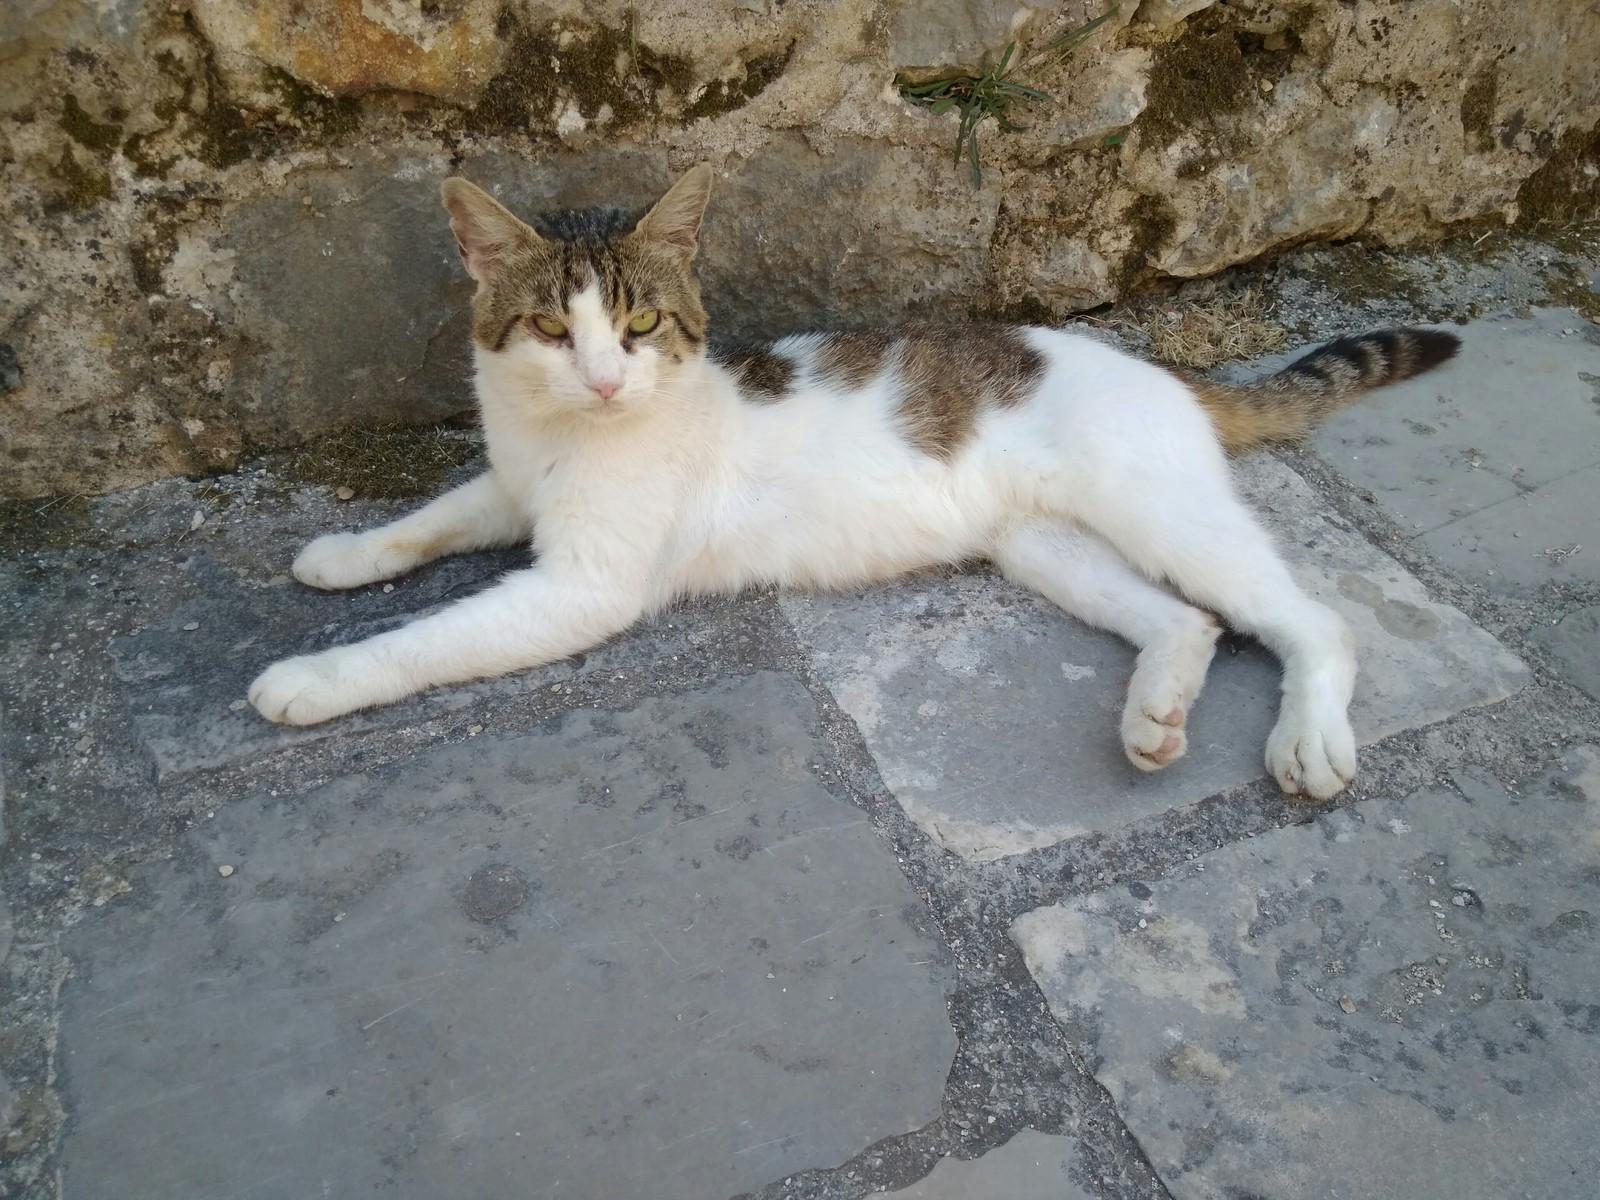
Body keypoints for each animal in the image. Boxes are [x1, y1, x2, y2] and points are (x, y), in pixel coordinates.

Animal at [249, 160, 1465, 800]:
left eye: (640, 326)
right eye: (552, 329)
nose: (601, 378)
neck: (566, 437)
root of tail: (1160, 368)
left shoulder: (580, 586)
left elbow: (425, 642)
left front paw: (312, 677)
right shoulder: (513, 487)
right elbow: (434, 518)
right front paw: (342, 554)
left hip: (1159, 508)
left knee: (1313, 619)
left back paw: (1307, 733)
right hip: (1042, 543)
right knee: (1187, 622)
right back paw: (1155, 714)